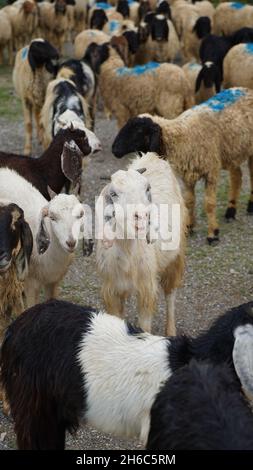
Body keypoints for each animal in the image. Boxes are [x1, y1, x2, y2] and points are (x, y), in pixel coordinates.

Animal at [96, 151, 187, 334]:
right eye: (114, 194)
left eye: (147, 188)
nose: (143, 216)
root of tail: (152, 156)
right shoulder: (111, 291)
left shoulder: (147, 289)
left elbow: (144, 327)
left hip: (175, 256)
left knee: (170, 294)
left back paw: (171, 331)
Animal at [112, 87, 253, 242]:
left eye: (138, 130)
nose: (114, 149)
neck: (184, 136)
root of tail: (245, 89)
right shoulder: (187, 176)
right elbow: (189, 201)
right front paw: (189, 227)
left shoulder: (211, 171)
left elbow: (209, 204)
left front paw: (212, 234)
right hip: (233, 150)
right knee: (237, 177)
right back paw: (231, 211)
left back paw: (250, 207)